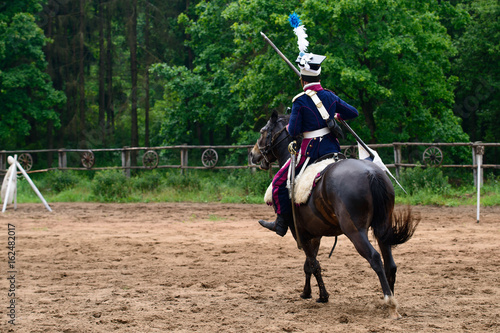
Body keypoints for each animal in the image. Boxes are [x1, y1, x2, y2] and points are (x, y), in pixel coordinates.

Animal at [250, 110, 418, 318]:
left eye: (263, 131)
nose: (253, 154)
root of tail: (371, 173)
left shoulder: (300, 233)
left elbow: (313, 263)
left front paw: (322, 295)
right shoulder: (315, 234)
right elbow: (309, 264)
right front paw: (308, 292)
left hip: (355, 231)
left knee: (375, 258)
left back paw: (390, 302)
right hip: (382, 227)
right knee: (390, 263)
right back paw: (390, 300)